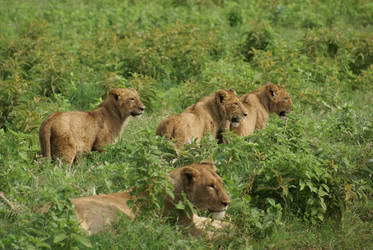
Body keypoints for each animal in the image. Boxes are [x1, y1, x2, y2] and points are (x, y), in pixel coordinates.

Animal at [70, 161, 230, 237]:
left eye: (221, 183)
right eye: (211, 186)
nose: (227, 203)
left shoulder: (193, 218)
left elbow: (218, 223)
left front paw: (229, 227)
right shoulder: (184, 227)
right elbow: (211, 235)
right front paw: (231, 237)